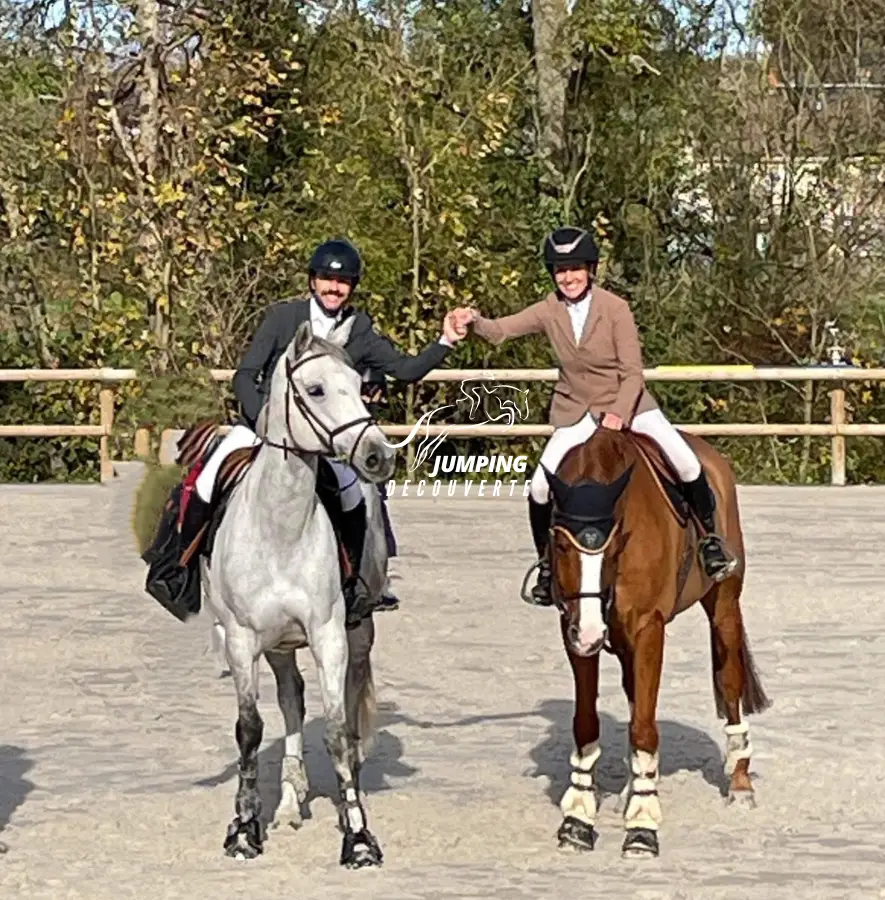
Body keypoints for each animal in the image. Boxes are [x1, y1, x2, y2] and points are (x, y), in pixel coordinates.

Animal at [202, 320, 396, 868]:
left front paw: (358, 836)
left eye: (358, 385)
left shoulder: (329, 634)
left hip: (358, 634)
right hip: (278, 646)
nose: (379, 456)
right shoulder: (242, 640)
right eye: (315, 390)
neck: (280, 530)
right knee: (291, 701)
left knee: (347, 711)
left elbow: (335, 730)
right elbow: (250, 729)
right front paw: (245, 829)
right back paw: (289, 800)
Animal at [544, 426, 772, 860]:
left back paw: (740, 784)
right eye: (561, 546)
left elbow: (645, 730)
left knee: (729, 681)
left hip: (723, 606)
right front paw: (578, 819)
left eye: (615, 544)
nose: (591, 633)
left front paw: (642, 827)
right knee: (636, 699)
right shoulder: (573, 629)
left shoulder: (649, 629)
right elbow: (587, 724)